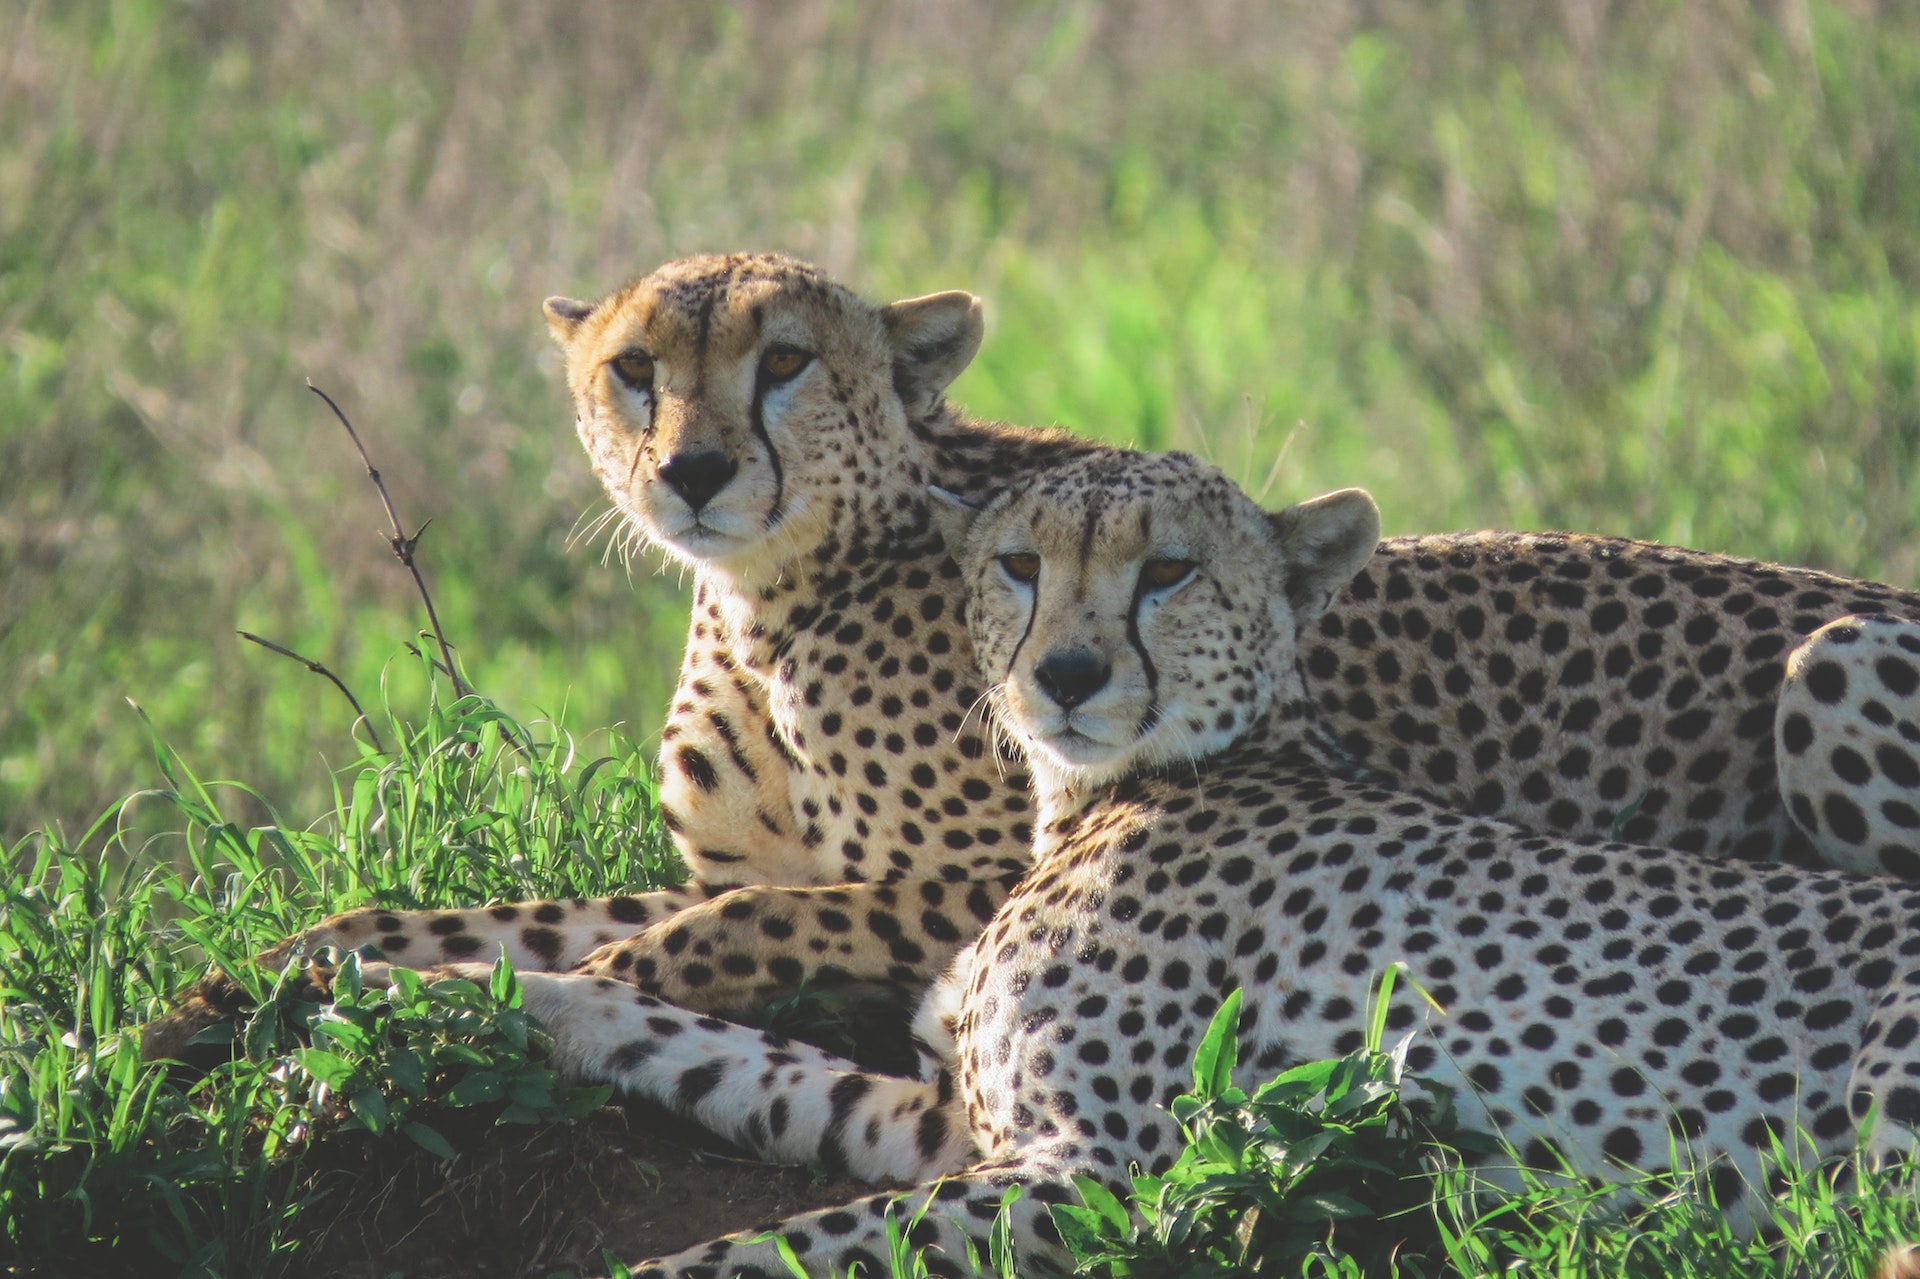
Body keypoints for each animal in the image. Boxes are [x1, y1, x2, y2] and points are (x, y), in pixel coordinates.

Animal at [591, 445, 1920, 1267]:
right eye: (1019, 567)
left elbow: (760, 1246)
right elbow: (759, 1072)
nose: (1066, 675)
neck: (1110, 790)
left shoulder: (1095, 1173)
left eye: (1168, 572)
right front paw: (553, 995)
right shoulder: (955, 1122)